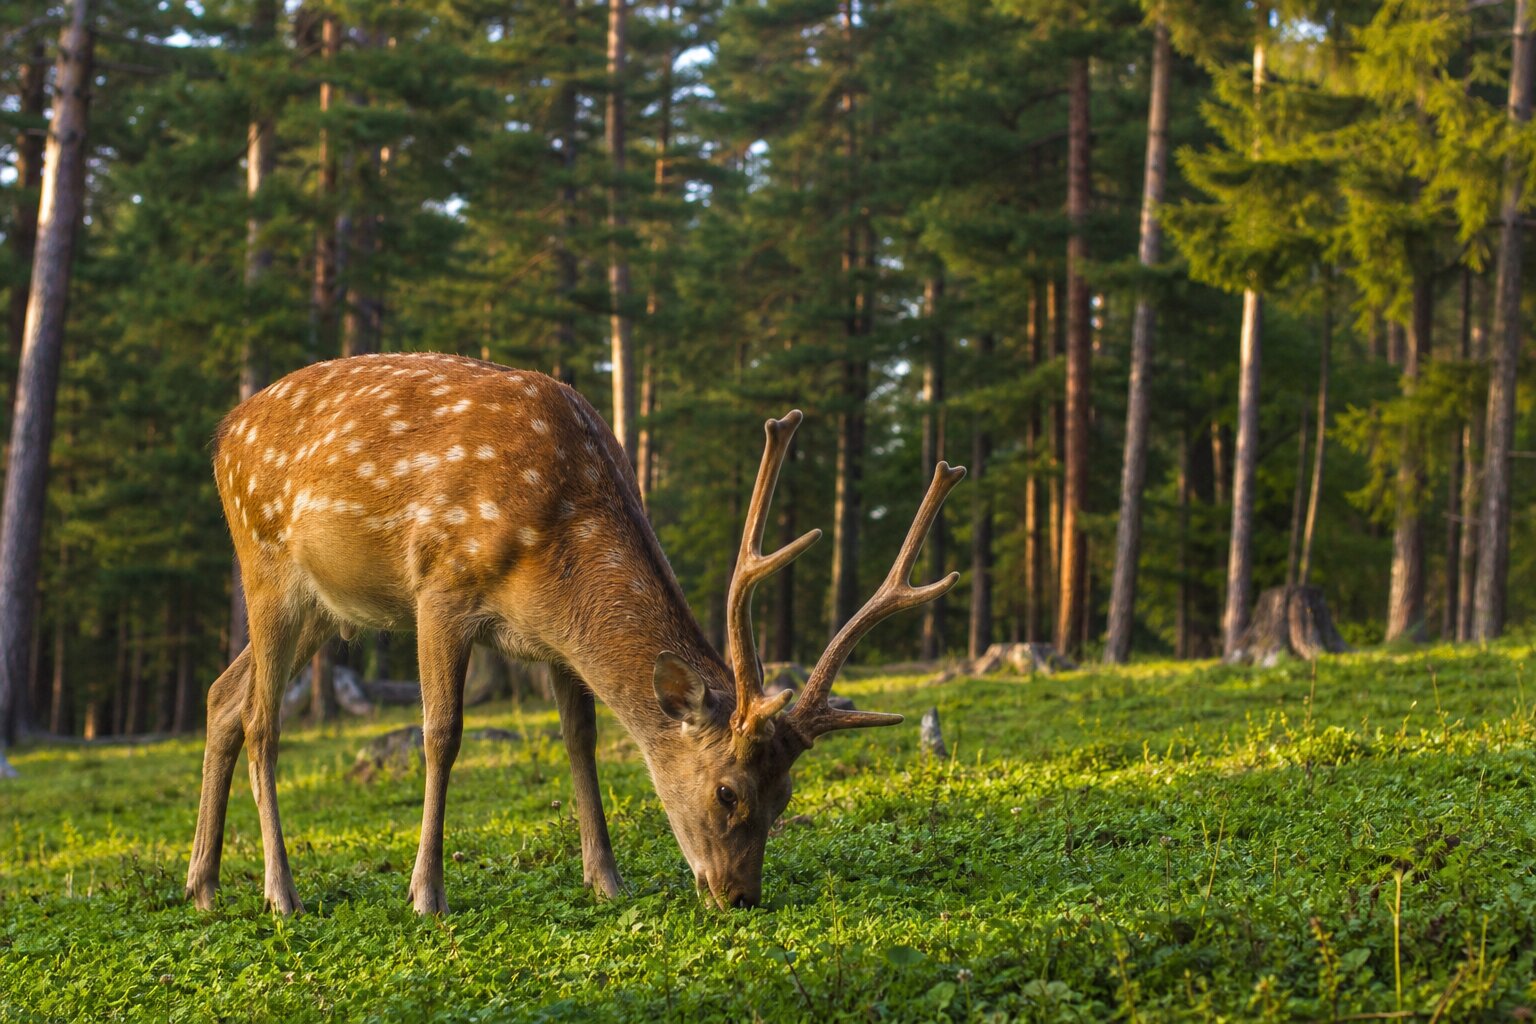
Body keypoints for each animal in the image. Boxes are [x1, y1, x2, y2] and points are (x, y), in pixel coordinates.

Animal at [185, 351, 964, 914]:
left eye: (788, 798)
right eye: (728, 793)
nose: (740, 896)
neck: (560, 533)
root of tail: (221, 436)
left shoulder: (553, 639)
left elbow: (580, 740)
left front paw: (607, 880)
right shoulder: (441, 586)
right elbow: (443, 735)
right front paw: (426, 893)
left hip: (324, 607)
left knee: (223, 694)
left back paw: (203, 885)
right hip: (265, 563)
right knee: (261, 720)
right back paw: (280, 892)